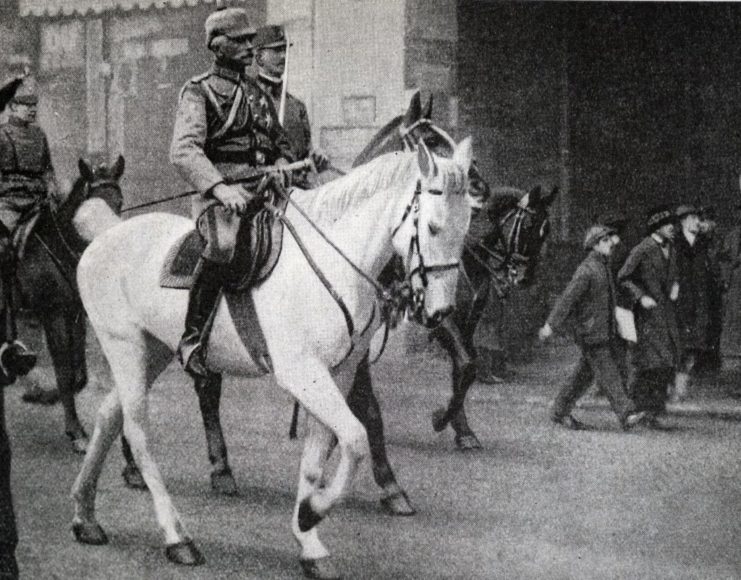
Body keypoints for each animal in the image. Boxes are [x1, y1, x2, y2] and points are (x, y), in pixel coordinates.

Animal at [16, 157, 123, 454]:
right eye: (88, 207)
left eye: (119, 202)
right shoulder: (53, 317)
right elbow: (64, 372)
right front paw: (76, 432)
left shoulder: (76, 315)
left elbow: (79, 374)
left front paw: (47, 397)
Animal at [71, 140, 474, 580]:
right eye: (432, 227)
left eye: (467, 227)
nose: (439, 312)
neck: (332, 261)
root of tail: (108, 233)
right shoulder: (302, 374)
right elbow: (354, 439)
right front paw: (312, 513)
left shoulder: (338, 373)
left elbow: (318, 457)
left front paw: (309, 541)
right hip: (124, 345)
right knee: (137, 431)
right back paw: (177, 537)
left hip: (153, 350)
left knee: (109, 416)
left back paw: (85, 515)